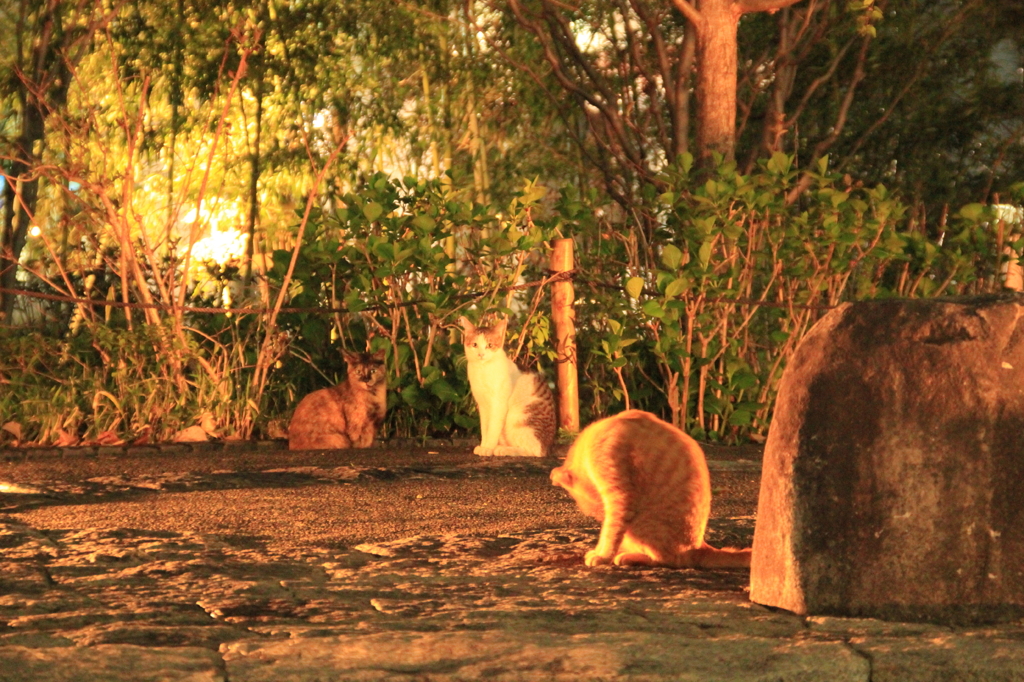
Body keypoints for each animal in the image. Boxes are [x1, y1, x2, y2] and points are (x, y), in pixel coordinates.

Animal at [460, 315, 557, 456]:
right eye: (474, 345)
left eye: (490, 345)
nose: (481, 354)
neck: (482, 371)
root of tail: (549, 447)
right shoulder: (483, 406)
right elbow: (485, 429)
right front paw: (484, 445)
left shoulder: (498, 405)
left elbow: (492, 429)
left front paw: (488, 448)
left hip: (517, 419)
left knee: (533, 451)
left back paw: (504, 449)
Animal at [552, 409, 753, 569]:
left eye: (594, 510)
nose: (600, 516)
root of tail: (699, 546)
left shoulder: (618, 495)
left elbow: (610, 533)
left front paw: (602, 556)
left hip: (640, 524)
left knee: (666, 560)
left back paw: (626, 557)